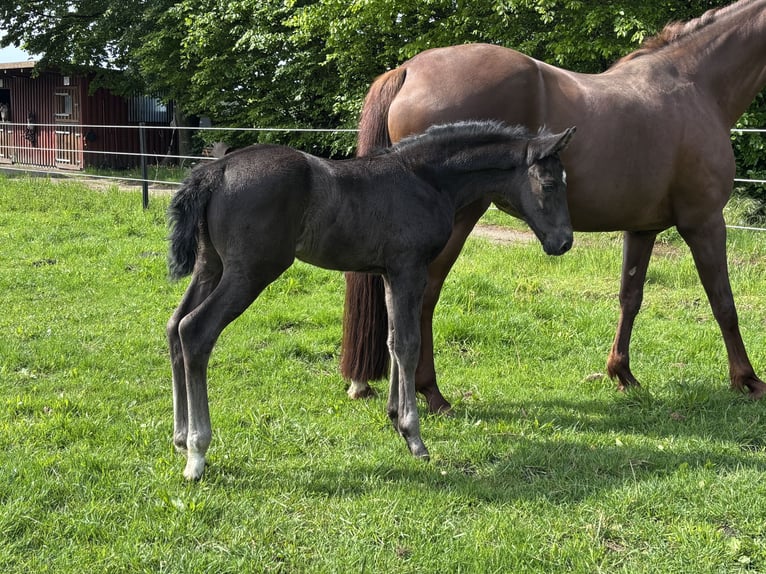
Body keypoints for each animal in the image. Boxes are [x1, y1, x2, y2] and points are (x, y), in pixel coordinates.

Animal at [167, 120, 575, 480]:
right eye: (550, 183)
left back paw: (180, 439)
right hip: (250, 272)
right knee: (195, 330)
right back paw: (197, 454)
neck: (425, 180)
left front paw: (394, 417)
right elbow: (409, 344)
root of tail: (217, 169)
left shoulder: (389, 273)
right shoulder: (410, 269)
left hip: (210, 266)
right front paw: (414, 437)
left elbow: (393, 340)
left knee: (174, 327)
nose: (565, 242)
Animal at [341, 0, 766, 413]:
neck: (695, 85)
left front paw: (622, 373)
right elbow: (723, 303)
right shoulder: (704, 222)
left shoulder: (642, 228)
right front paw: (747, 380)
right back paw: (432, 393)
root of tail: (409, 70)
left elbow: (630, 297)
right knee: (424, 294)